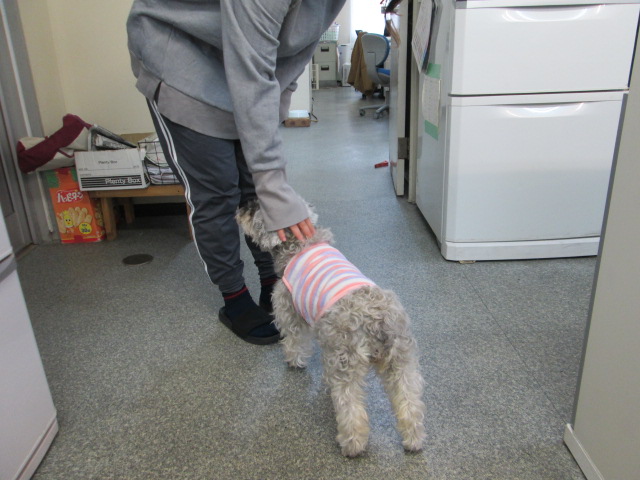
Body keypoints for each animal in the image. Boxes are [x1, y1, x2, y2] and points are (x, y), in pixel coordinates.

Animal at [236, 200, 426, 457]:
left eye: (254, 209)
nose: (240, 206)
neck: (299, 244)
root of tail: (375, 320)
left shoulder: (289, 311)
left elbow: (294, 341)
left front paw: (294, 361)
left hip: (347, 364)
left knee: (351, 408)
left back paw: (352, 444)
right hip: (401, 362)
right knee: (409, 401)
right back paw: (414, 440)